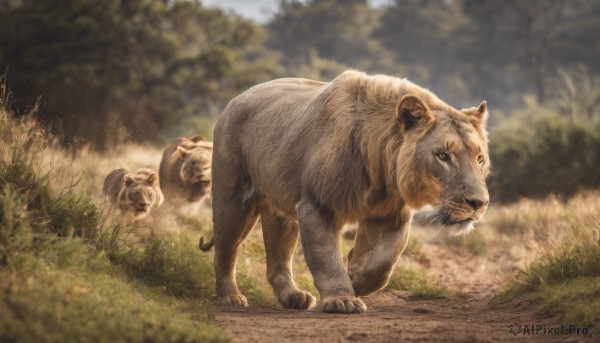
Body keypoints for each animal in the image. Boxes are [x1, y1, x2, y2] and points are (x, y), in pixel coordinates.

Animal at [203, 70, 492, 314]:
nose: (479, 203)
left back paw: (294, 297)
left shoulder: (390, 213)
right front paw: (342, 298)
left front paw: (356, 276)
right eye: (443, 156)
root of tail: (236, 99)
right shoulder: (316, 204)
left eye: (479, 158)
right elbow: (325, 256)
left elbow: (385, 259)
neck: (383, 175)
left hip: (280, 209)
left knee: (278, 258)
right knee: (225, 249)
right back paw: (231, 297)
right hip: (232, 197)